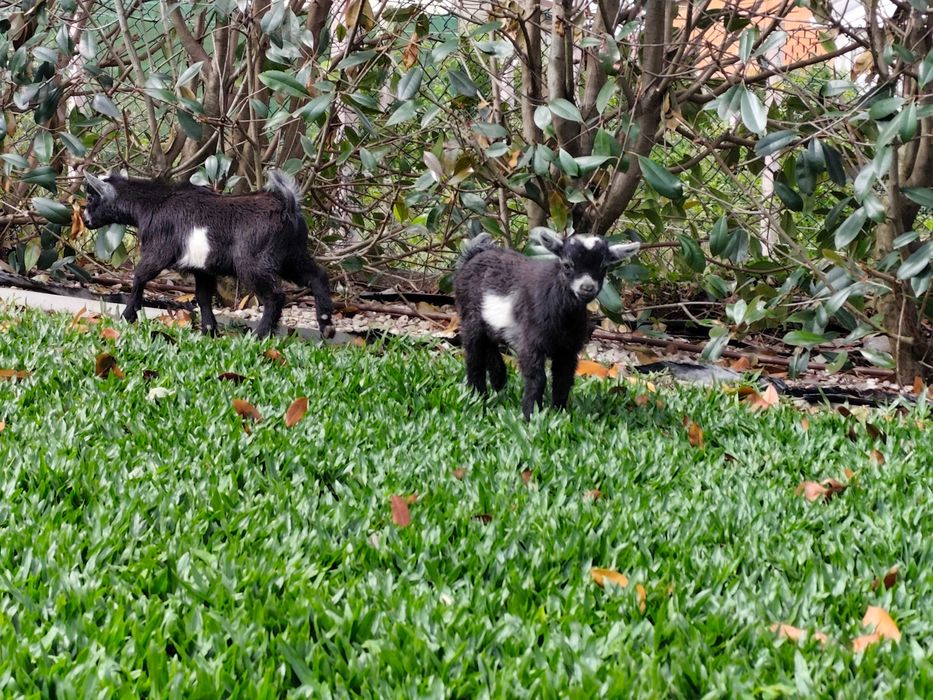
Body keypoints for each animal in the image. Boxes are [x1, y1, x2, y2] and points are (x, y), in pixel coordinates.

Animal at [82, 169, 335, 339]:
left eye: (91, 198)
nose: (85, 221)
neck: (153, 204)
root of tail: (288, 207)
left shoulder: (159, 249)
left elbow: (140, 276)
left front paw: (128, 315)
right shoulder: (202, 268)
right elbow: (203, 296)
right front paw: (210, 330)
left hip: (253, 261)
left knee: (275, 295)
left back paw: (259, 335)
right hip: (293, 256)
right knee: (317, 276)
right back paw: (326, 325)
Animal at [454, 229, 639, 418]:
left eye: (604, 267)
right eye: (567, 265)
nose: (587, 288)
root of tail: (474, 254)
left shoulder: (568, 348)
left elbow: (563, 379)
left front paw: (559, 412)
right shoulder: (531, 343)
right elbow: (538, 378)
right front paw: (530, 415)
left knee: (489, 347)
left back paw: (497, 384)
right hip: (470, 316)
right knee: (474, 355)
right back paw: (478, 396)